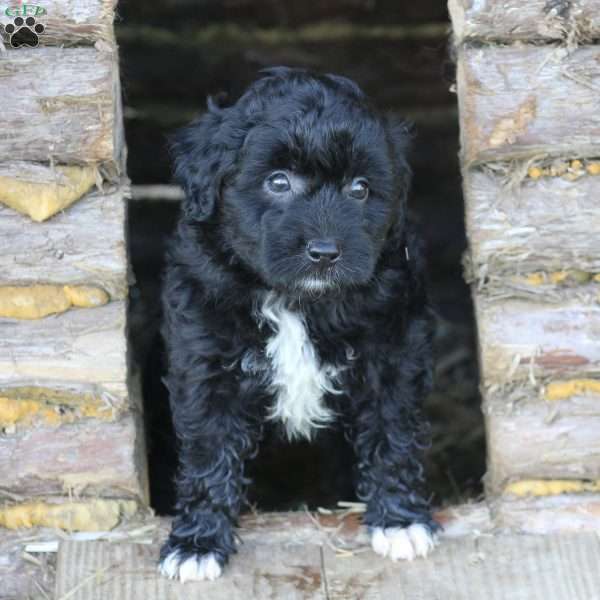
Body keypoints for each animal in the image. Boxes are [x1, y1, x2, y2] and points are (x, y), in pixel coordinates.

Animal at [158, 67, 440, 580]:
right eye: (278, 181)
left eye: (360, 189)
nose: (325, 253)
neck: (296, 299)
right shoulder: (204, 358)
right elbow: (209, 447)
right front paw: (197, 543)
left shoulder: (393, 351)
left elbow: (393, 429)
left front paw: (400, 519)